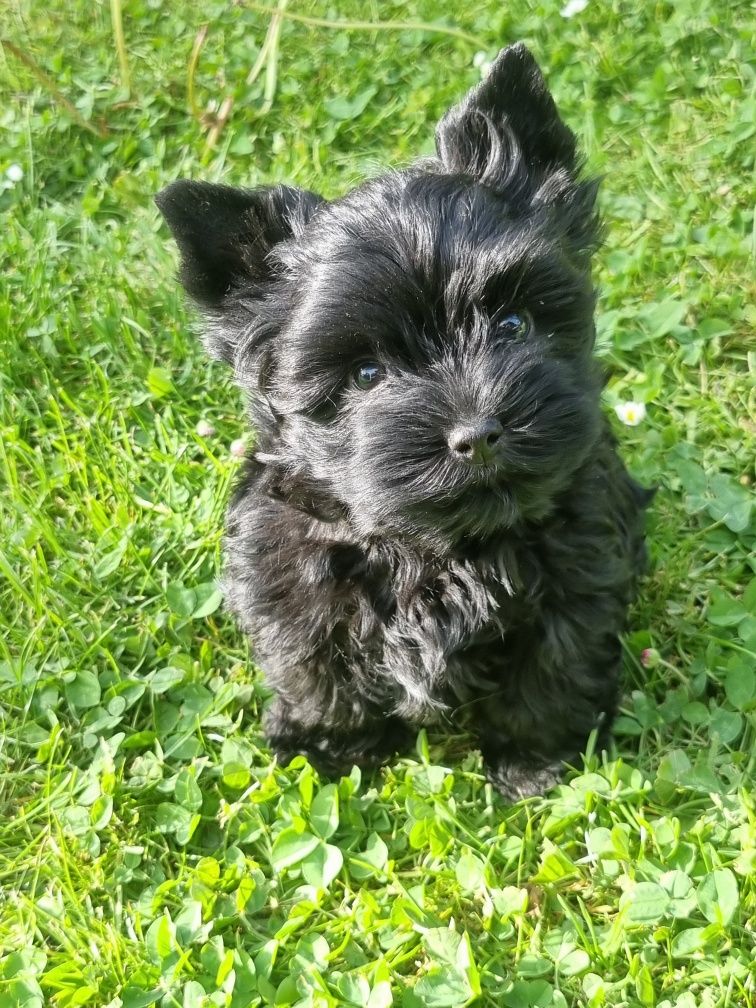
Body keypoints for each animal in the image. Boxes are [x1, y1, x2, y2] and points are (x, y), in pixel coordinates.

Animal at [155, 45, 653, 802]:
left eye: (513, 324)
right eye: (365, 375)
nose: (478, 434)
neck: (438, 551)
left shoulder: (576, 581)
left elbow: (550, 676)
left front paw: (532, 765)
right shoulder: (288, 587)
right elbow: (316, 676)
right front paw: (330, 750)